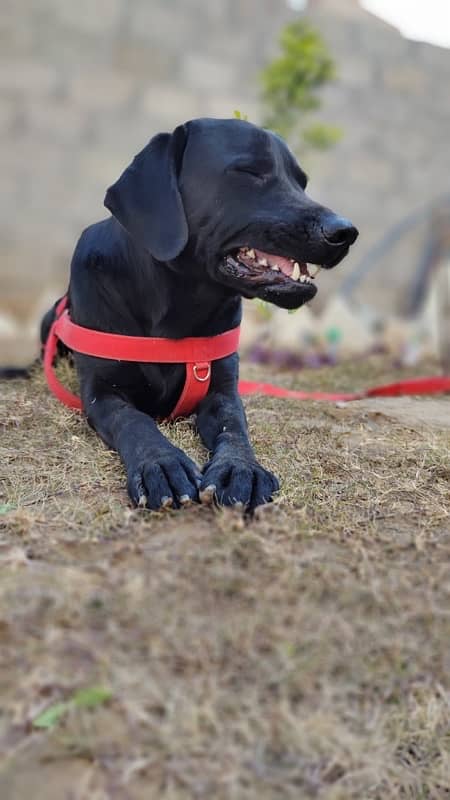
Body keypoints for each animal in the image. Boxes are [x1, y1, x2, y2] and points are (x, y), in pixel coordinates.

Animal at [42, 119, 358, 512]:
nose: (345, 231)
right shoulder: (101, 392)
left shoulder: (222, 389)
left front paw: (241, 468)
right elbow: (133, 420)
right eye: (250, 172)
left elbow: (233, 426)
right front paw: (161, 463)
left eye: (301, 182)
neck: (175, 307)